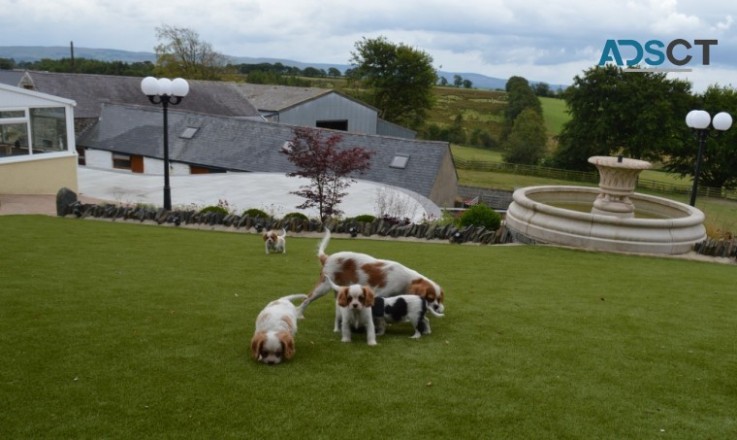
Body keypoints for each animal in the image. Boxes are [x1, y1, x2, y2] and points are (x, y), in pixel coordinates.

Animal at [298, 229, 442, 318]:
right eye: (430, 298)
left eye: (439, 299)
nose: (437, 307)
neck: (407, 279)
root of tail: (327, 257)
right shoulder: (379, 293)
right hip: (323, 286)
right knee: (306, 299)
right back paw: (299, 314)